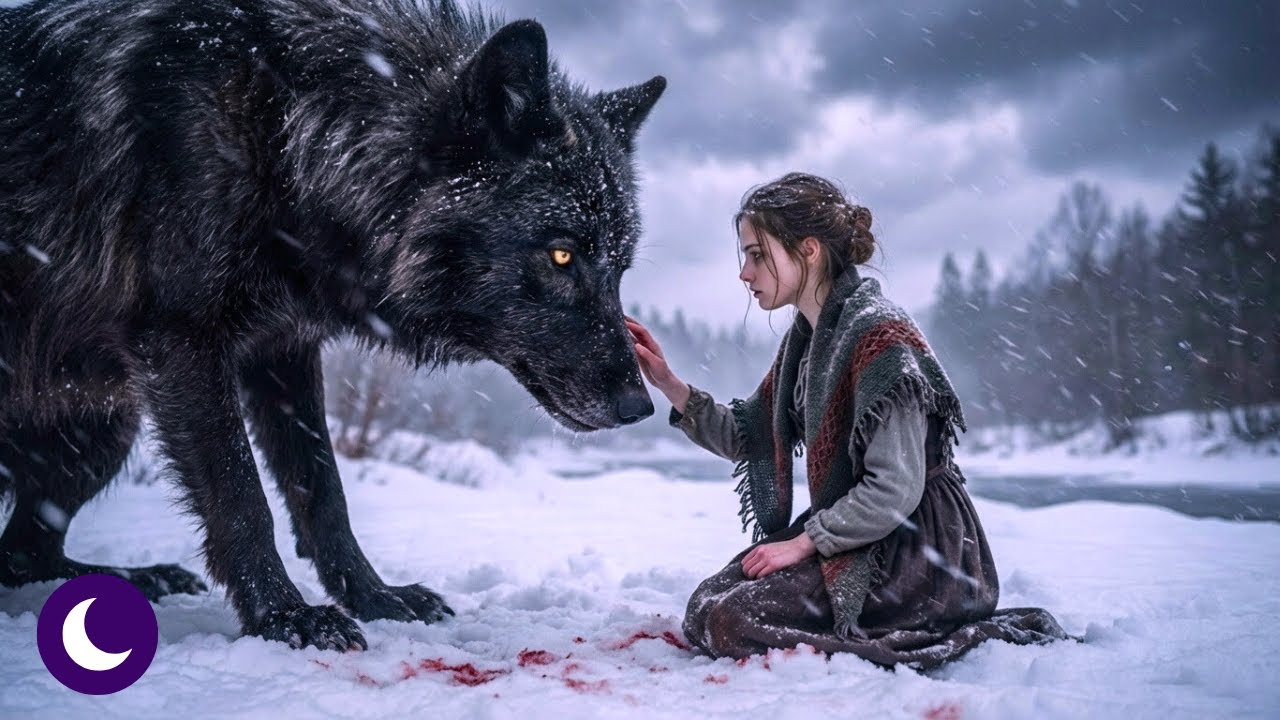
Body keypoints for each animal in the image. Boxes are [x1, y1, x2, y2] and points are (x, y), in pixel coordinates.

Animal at [0, 0, 663, 650]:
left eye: (619, 267)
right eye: (562, 255)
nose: (641, 407)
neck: (290, 136)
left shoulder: (283, 349)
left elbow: (323, 490)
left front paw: (375, 598)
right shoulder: (185, 342)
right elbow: (241, 496)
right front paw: (283, 617)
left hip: (103, 427)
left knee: (25, 554)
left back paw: (139, 580)